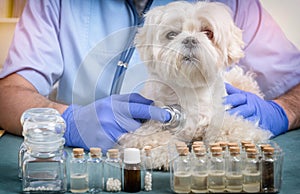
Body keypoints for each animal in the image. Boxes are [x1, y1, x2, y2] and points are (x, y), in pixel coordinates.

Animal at [118, 1, 272, 168]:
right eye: (172, 35)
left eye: (208, 33)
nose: (190, 40)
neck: (190, 88)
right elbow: (149, 137)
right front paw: (162, 153)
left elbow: (232, 129)